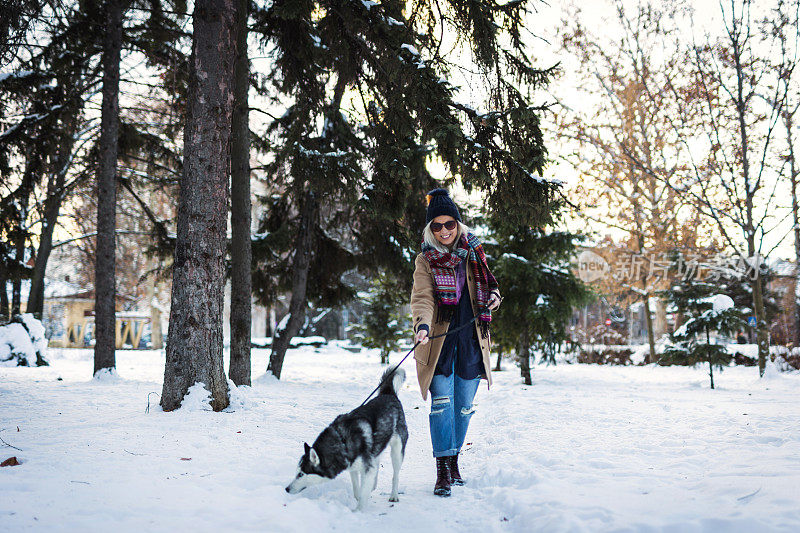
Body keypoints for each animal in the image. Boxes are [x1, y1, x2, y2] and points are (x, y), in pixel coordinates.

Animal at [286, 366, 410, 512]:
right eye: (296, 472)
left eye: (301, 474)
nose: (286, 489)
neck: (342, 441)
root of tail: (389, 394)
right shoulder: (354, 468)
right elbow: (358, 489)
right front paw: (359, 498)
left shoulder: (366, 467)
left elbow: (363, 492)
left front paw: (358, 511)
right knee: (377, 462)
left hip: (397, 451)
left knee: (395, 475)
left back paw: (394, 495)